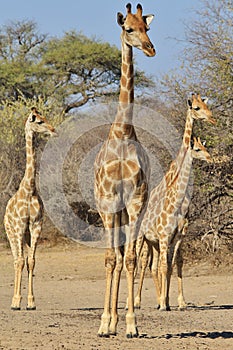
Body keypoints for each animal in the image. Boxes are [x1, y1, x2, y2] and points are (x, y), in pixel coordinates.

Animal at [4, 108, 56, 310]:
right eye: (39, 121)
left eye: (45, 118)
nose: (53, 130)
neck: (29, 189)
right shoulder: (19, 227)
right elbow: (19, 262)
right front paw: (16, 302)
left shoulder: (35, 226)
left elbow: (32, 261)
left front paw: (31, 302)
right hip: (11, 232)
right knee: (15, 260)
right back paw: (14, 301)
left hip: (25, 235)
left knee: (24, 259)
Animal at [134, 93, 216, 312]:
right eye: (196, 108)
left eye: (206, 105)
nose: (212, 119)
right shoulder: (164, 237)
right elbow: (165, 266)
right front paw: (165, 303)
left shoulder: (177, 236)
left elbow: (175, 263)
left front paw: (176, 302)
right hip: (141, 239)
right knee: (141, 263)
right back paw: (136, 302)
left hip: (154, 242)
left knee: (154, 265)